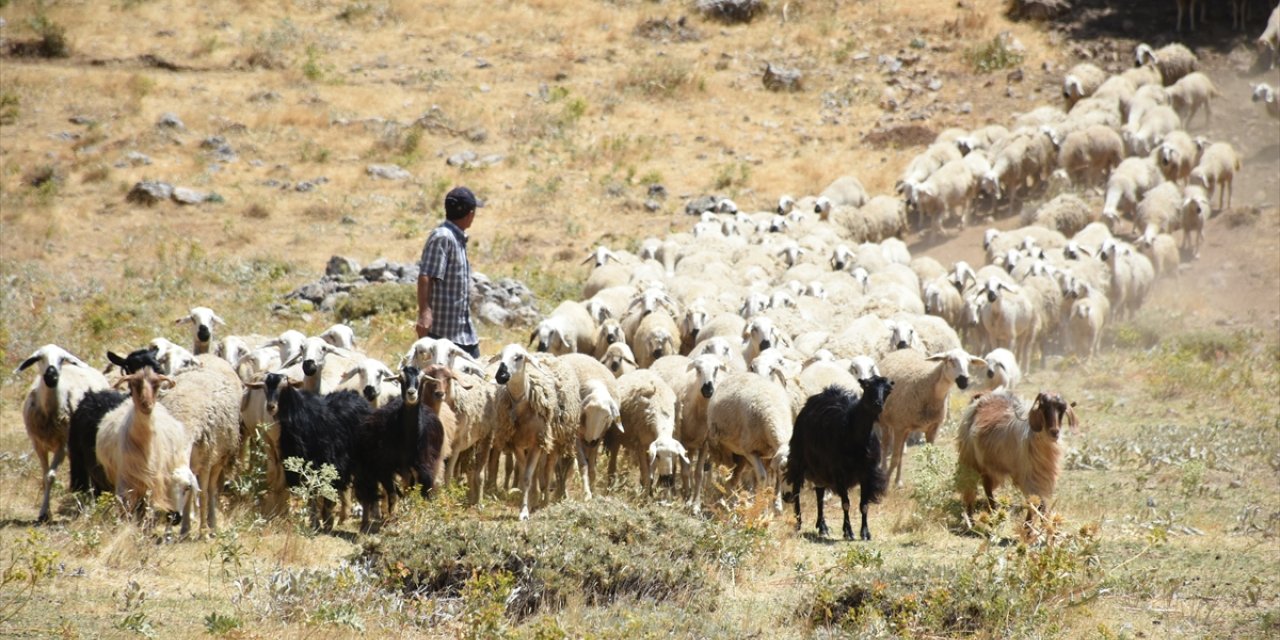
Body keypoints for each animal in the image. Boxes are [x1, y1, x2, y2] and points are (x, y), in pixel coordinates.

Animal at [15, 348, 110, 522]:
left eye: (62, 359)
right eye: (39, 358)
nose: (51, 376)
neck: (49, 412)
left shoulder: (63, 446)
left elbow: (51, 476)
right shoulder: (38, 444)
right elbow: (45, 476)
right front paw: (44, 512)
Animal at [95, 366, 197, 535]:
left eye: (156, 385)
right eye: (134, 384)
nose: (146, 404)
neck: (144, 444)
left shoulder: (154, 482)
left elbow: (148, 510)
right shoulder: (125, 480)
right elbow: (125, 510)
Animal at [353, 368, 448, 532]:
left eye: (422, 380)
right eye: (401, 379)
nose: (411, 393)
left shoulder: (426, 468)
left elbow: (424, 494)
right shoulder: (383, 468)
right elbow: (392, 495)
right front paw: (393, 520)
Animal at [875, 348, 983, 486]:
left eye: (969, 361)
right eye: (950, 360)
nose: (964, 381)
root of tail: (901, 350)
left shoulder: (933, 428)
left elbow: (930, 457)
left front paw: (930, 478)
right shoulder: (899, 427)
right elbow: (894, 458)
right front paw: (886, 482)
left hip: (905, 428)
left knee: (900, 451)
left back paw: (898, 481)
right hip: (885, 421)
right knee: (884, 446)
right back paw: (884, 471)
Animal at [957, 389, 1075, 529]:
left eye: (1062, 409)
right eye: (1043, 407)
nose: (1054, 432)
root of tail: (984, 395)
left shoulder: (1041, 478)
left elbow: (1040, 503)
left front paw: (1040, 526)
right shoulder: (1029, 477)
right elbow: (1037, 503)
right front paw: (1029, 528)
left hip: (988, 465)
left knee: (987, 486)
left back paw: (992, 513)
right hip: (970, 459)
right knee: (971, 488)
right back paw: (972, 520)